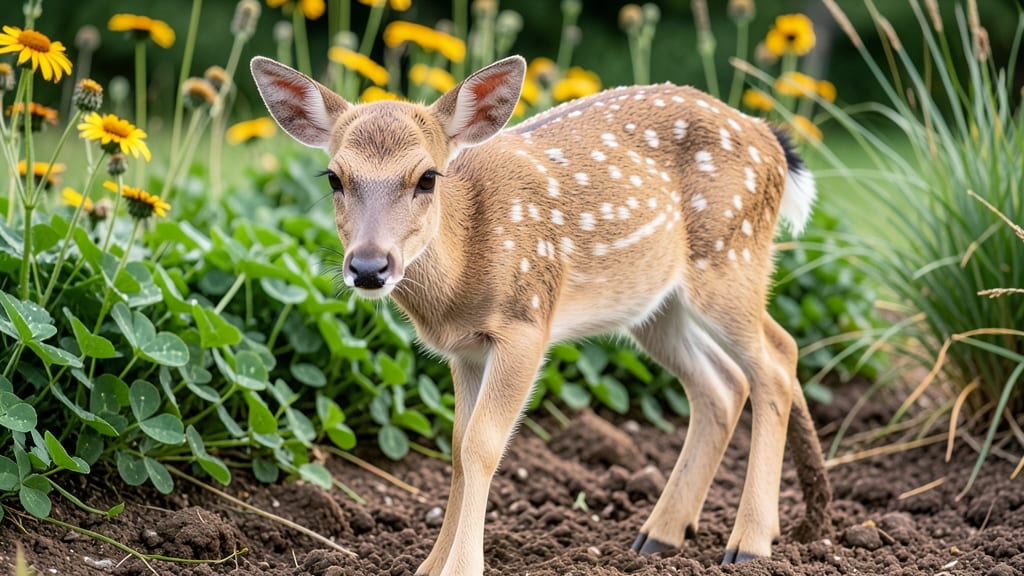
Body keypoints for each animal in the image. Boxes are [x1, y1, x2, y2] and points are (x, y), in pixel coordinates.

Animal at [250, 54, 832, 575]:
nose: (369, 267)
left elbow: (483, 445)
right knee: (723, 384)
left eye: (427, 177)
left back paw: (750, 544)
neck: (462, 272)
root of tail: (772, 139)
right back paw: (659, 536)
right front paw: (428, 567)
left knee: (778, 358)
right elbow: (457, 447)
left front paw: (461, 569)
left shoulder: (526, 323)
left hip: (731, 257)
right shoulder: (464, 351)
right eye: (334, 178)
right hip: (655, 307)